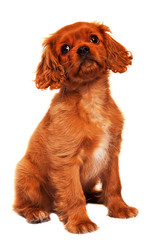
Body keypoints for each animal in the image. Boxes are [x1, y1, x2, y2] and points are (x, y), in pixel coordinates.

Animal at [13, 21, 138, 233]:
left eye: (94, 39)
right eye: (65, 48)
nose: (83, 49)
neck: (90, 96)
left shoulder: (111, 152)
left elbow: (114, 185)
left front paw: (120, 208)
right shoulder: (67, 160)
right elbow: (74, 195)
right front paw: (80, 221)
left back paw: (98, 195)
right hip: (26, 175)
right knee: (20, 205)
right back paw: (36, 213)